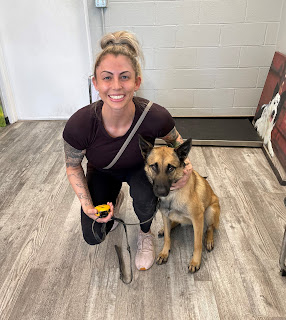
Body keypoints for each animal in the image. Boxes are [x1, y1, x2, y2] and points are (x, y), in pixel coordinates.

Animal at [140, 136, 220, 274]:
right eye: (154, 166)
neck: (173, 195)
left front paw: (195, 261)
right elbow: (167, 238)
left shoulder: (198, 218)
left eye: (171, 168)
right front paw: (164, 252)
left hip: (210, 211)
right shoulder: (165, 215)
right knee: (175, 223)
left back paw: (209, 240)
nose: (161, 192)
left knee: (210, 228)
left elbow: (197, 243)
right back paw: (164, 229)